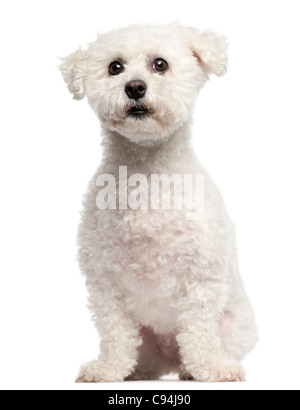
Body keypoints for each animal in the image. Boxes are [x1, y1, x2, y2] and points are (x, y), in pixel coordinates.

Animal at [60, 23, 258, 382]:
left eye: (160, 64)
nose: (135, 87)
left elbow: (198, 331)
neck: (146, 178)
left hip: (237, 327)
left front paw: (210, 368)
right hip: (148, 344)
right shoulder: (105, 281)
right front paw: (108, 369)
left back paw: (191, 369)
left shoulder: (202, 277)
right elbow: (115, 333)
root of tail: (167, 356)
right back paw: (138, 371)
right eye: (115, 67)